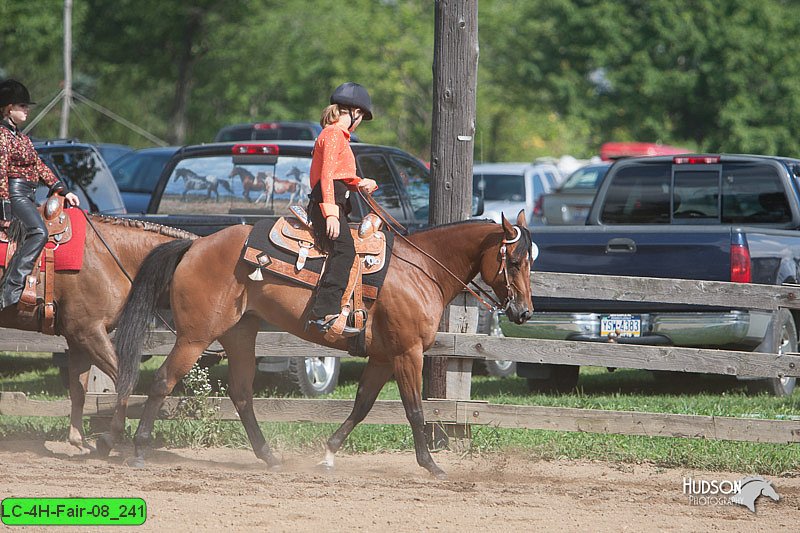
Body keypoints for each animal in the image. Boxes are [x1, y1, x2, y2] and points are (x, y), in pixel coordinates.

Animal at [1, 210, 195, 450]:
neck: (110, 257)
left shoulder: (77, 339)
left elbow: (78, 390)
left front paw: (78, 440)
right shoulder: (89, 332)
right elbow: (124, 378)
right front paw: (111, 436)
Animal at [112, 209, 536, 478]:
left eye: (530, 260)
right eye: (514, 261)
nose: (524, 312)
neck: (422, 270)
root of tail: (195, 245)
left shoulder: (382, 357)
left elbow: (362, 405)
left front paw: (329, 453)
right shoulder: (407, 354)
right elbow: (415, 410)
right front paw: (431, 465)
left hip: (240, 333)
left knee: (242, 393)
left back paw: (270, 457)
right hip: (195, 336)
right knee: (163, 381)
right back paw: (138, 450)